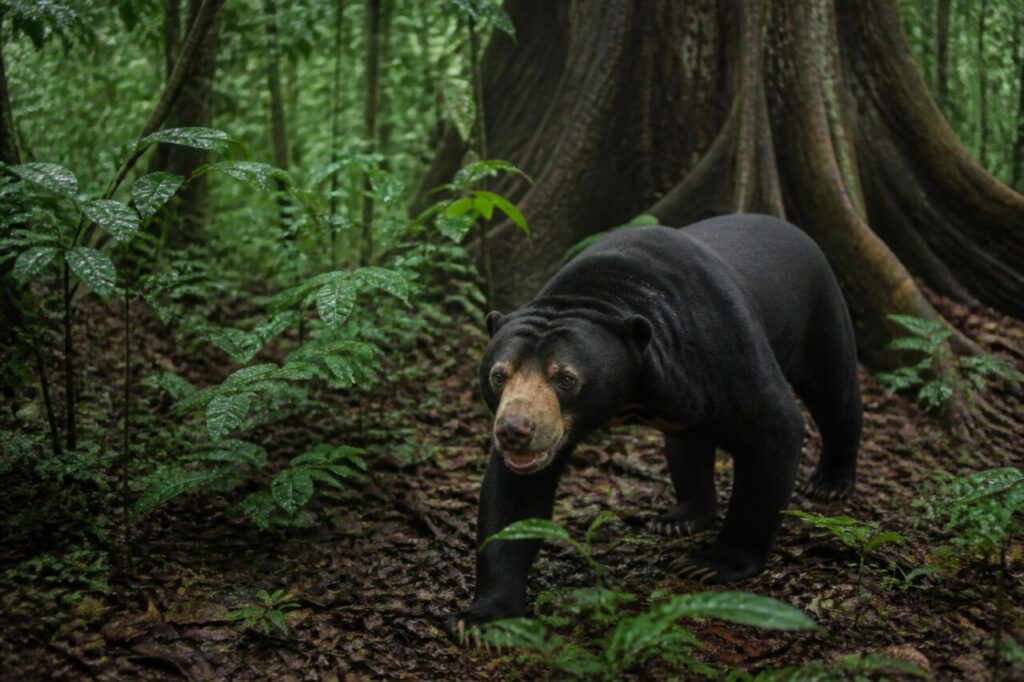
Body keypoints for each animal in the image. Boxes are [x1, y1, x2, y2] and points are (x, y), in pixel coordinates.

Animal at [448, 213, 862, 643]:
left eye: (566, 379)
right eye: (498, 375)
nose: (515, 430)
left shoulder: (721, 347)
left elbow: (773, 428)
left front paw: (711, 564)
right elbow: (515, 498)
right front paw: (482, 620)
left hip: (821, 310)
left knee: (835, 393)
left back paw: (830, 482)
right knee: (687, 444)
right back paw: (678, 519)